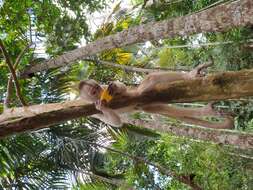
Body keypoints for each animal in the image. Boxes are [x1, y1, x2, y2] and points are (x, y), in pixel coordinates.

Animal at [79, 63, 233, 129]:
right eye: (93, 92)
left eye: (97, 87)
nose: (98, 90)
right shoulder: (92, 112)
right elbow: (116, 122)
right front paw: (103, 107)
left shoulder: (105, 88)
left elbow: (122, 89)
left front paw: (114, 87)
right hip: (147, 105)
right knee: (164, 110)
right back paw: (206, 111)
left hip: (142, 94)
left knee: (151, 79)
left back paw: (190, 75)